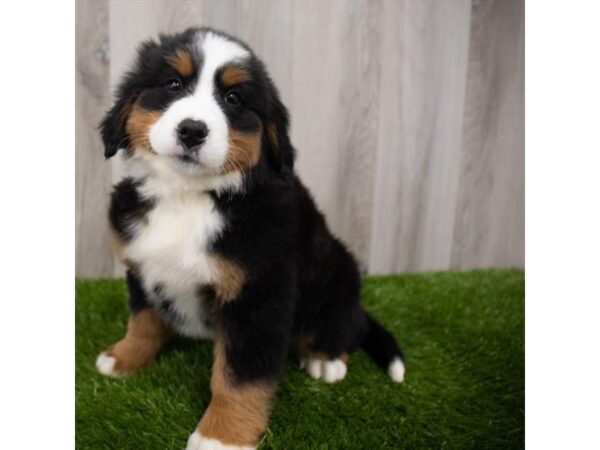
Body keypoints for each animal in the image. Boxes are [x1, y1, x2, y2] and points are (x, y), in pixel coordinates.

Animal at [98, 28, 406, 450]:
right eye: (173, 84)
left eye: (233, 99)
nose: (192, 130)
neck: (189, 196)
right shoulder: (142, 268)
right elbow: (143, 322)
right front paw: (123, 357)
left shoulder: (259, 296)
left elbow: (239, 377)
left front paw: (221, 436)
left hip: (336, 272)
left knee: (347, 324)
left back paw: (325, 358)